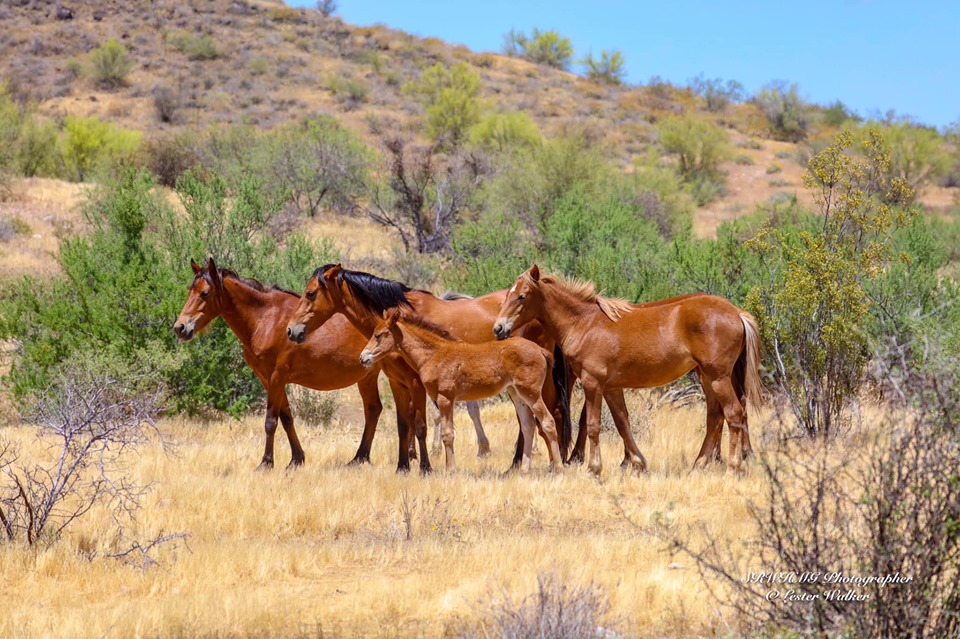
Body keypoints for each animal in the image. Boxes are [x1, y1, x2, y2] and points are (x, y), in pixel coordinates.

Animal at [173, 258, 425, 471]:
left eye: (204, 293)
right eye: (189, 291)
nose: (180, 327)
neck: (266, 320)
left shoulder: (276, 378)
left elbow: (271, 421)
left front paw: (266, 463)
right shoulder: (268, 380)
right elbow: (286, 418)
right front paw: (296, 459)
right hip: (368, 376)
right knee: (374, 410)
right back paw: (360, 458)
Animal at [361, 309, 563, 473]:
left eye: (379, 335)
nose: (363, 358)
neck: (434, 354)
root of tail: (539, 350)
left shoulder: (445, 398)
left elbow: (447, 434)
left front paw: (450, 469)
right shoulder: (441, 399)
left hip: (531, 392)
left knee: (548, 422)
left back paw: (559, 468)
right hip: (516, 393)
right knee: (528, 425)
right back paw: (524, 469)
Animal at [493, 265, 762, 476]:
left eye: (522, 296)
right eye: (507, 295)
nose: (498, 328)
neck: (584, 323)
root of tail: (737, 313)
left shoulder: (592, 383)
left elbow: (593, 425)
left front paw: (594, 468)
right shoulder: (612, 388)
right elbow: (623, 423)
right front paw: (637, 462)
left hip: (718, 377)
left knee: (734, 413)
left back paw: (734, 465)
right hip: (707, 377)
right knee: (715, 417)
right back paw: (699, 464)